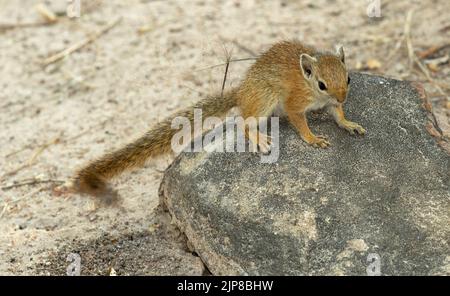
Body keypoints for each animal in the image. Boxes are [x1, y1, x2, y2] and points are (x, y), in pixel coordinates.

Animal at [71, 40, 366, 201]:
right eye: (322, 84)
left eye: (348, 78)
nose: (342, 97)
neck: (310, 88)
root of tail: (242, 91)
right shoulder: (295, 104)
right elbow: (300, 122)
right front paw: (313, 138)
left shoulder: (333, 104)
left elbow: (338, 115)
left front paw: (349, 123)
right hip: (266, 99)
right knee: (244, 122)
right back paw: (259, 139)